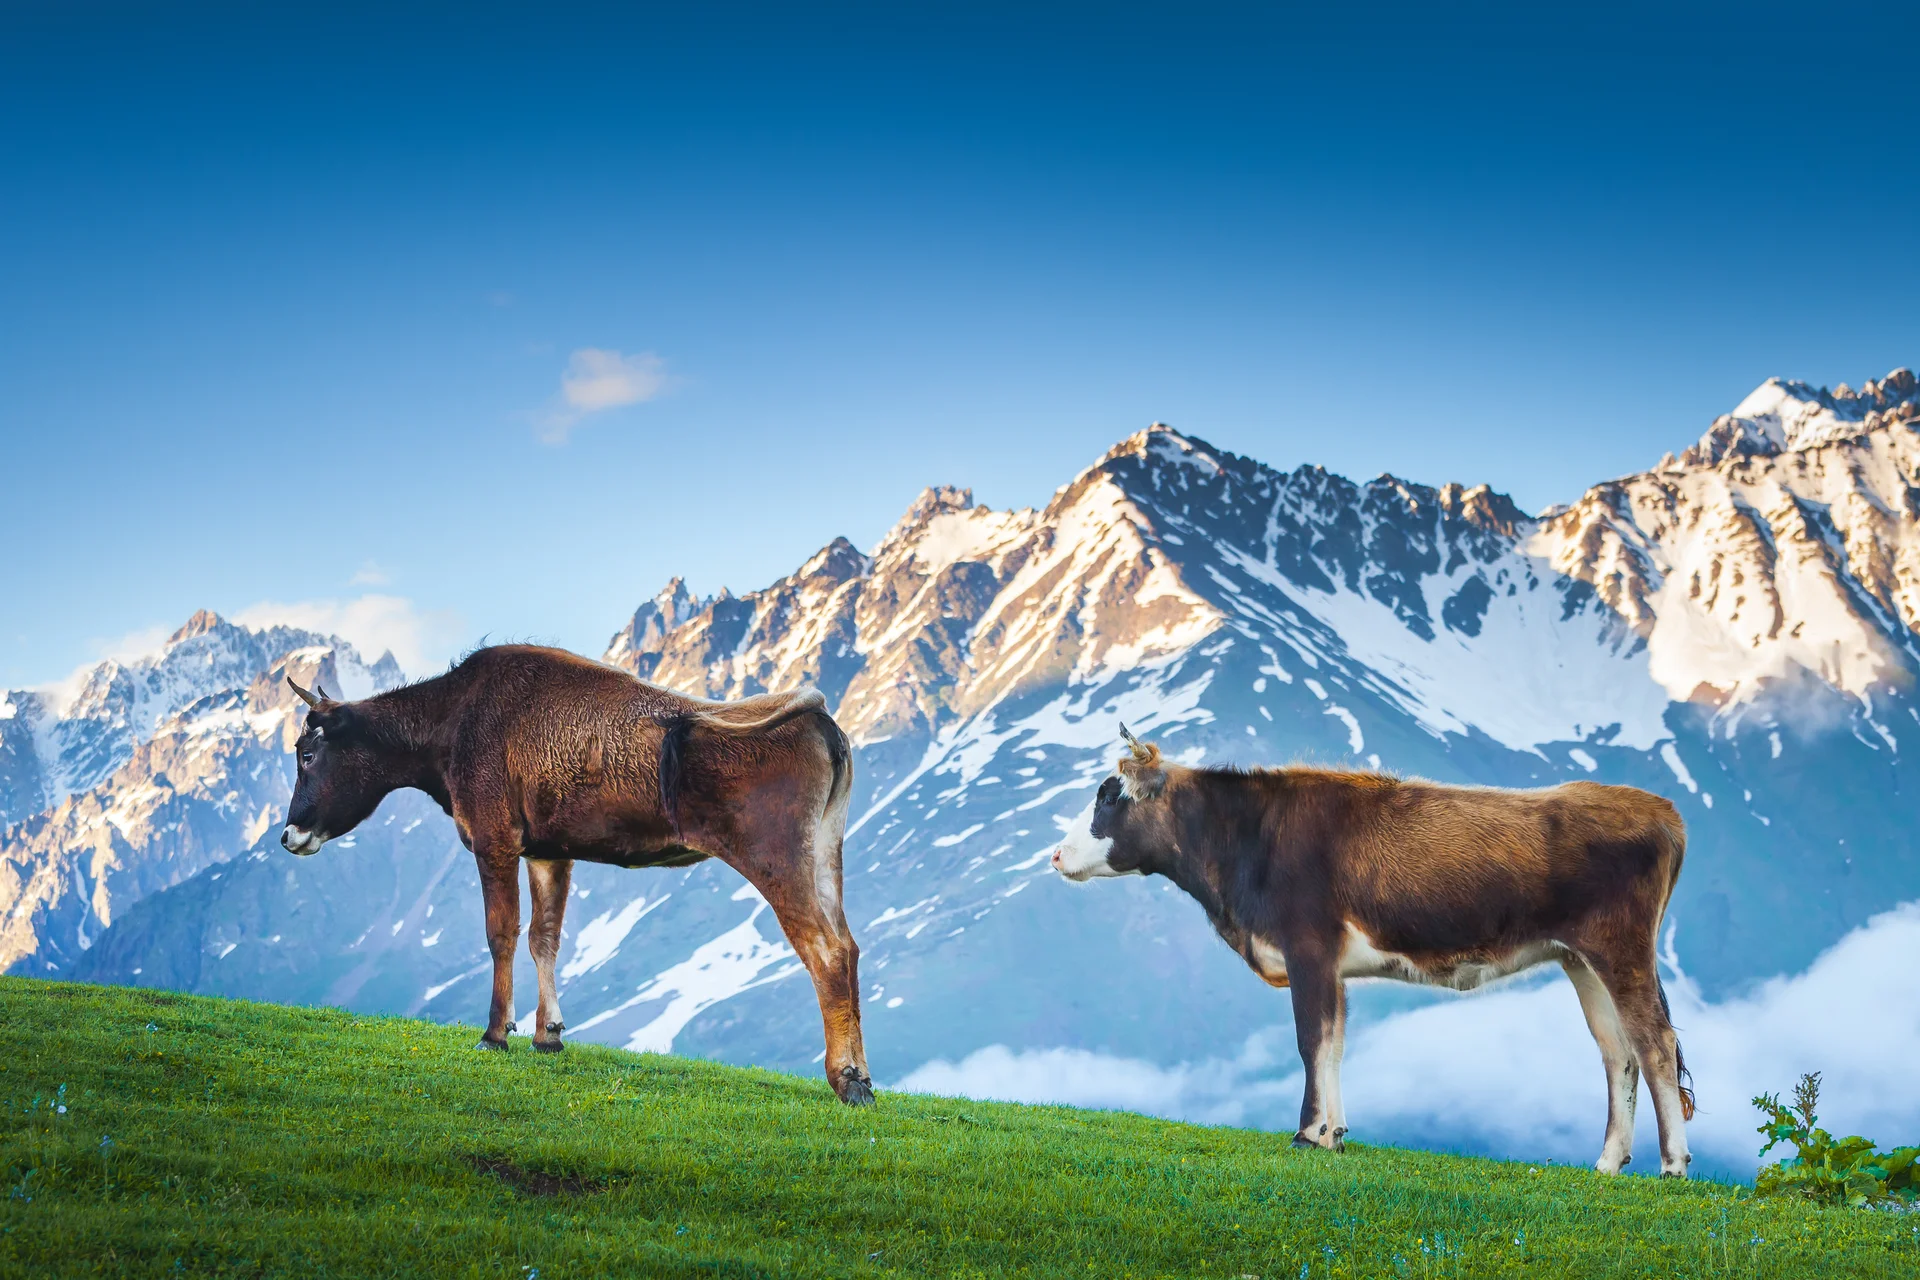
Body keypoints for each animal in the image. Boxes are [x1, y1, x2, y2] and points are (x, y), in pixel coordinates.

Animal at [279, 644, 873, 1105]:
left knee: (826, 950)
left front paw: (495, 1033)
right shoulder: (549, 851)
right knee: (849, 945)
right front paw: (549, 1034)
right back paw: (864, 1077)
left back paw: (846, 1079)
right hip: (825, 853)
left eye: (307, 753)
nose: (288, 834)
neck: (449, 729)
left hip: (775, 856)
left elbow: (501, 933)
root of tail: (821, 720)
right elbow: (545, 937)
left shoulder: (494, 838)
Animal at [1050, 726, 1695, 1176]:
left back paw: (1672, 1166)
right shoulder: (1332, 965)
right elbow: (1334, 1045)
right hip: (1581, 959)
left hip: (1620, 947)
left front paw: (1306, 1133)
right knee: (1618, 1052)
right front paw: (1333, 1136)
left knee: (1655, 1042)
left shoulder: (1307, 948)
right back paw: (1607, 1164)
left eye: (1109, 799)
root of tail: (1659, 810)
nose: (1055, 855)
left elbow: (1311, 1041)